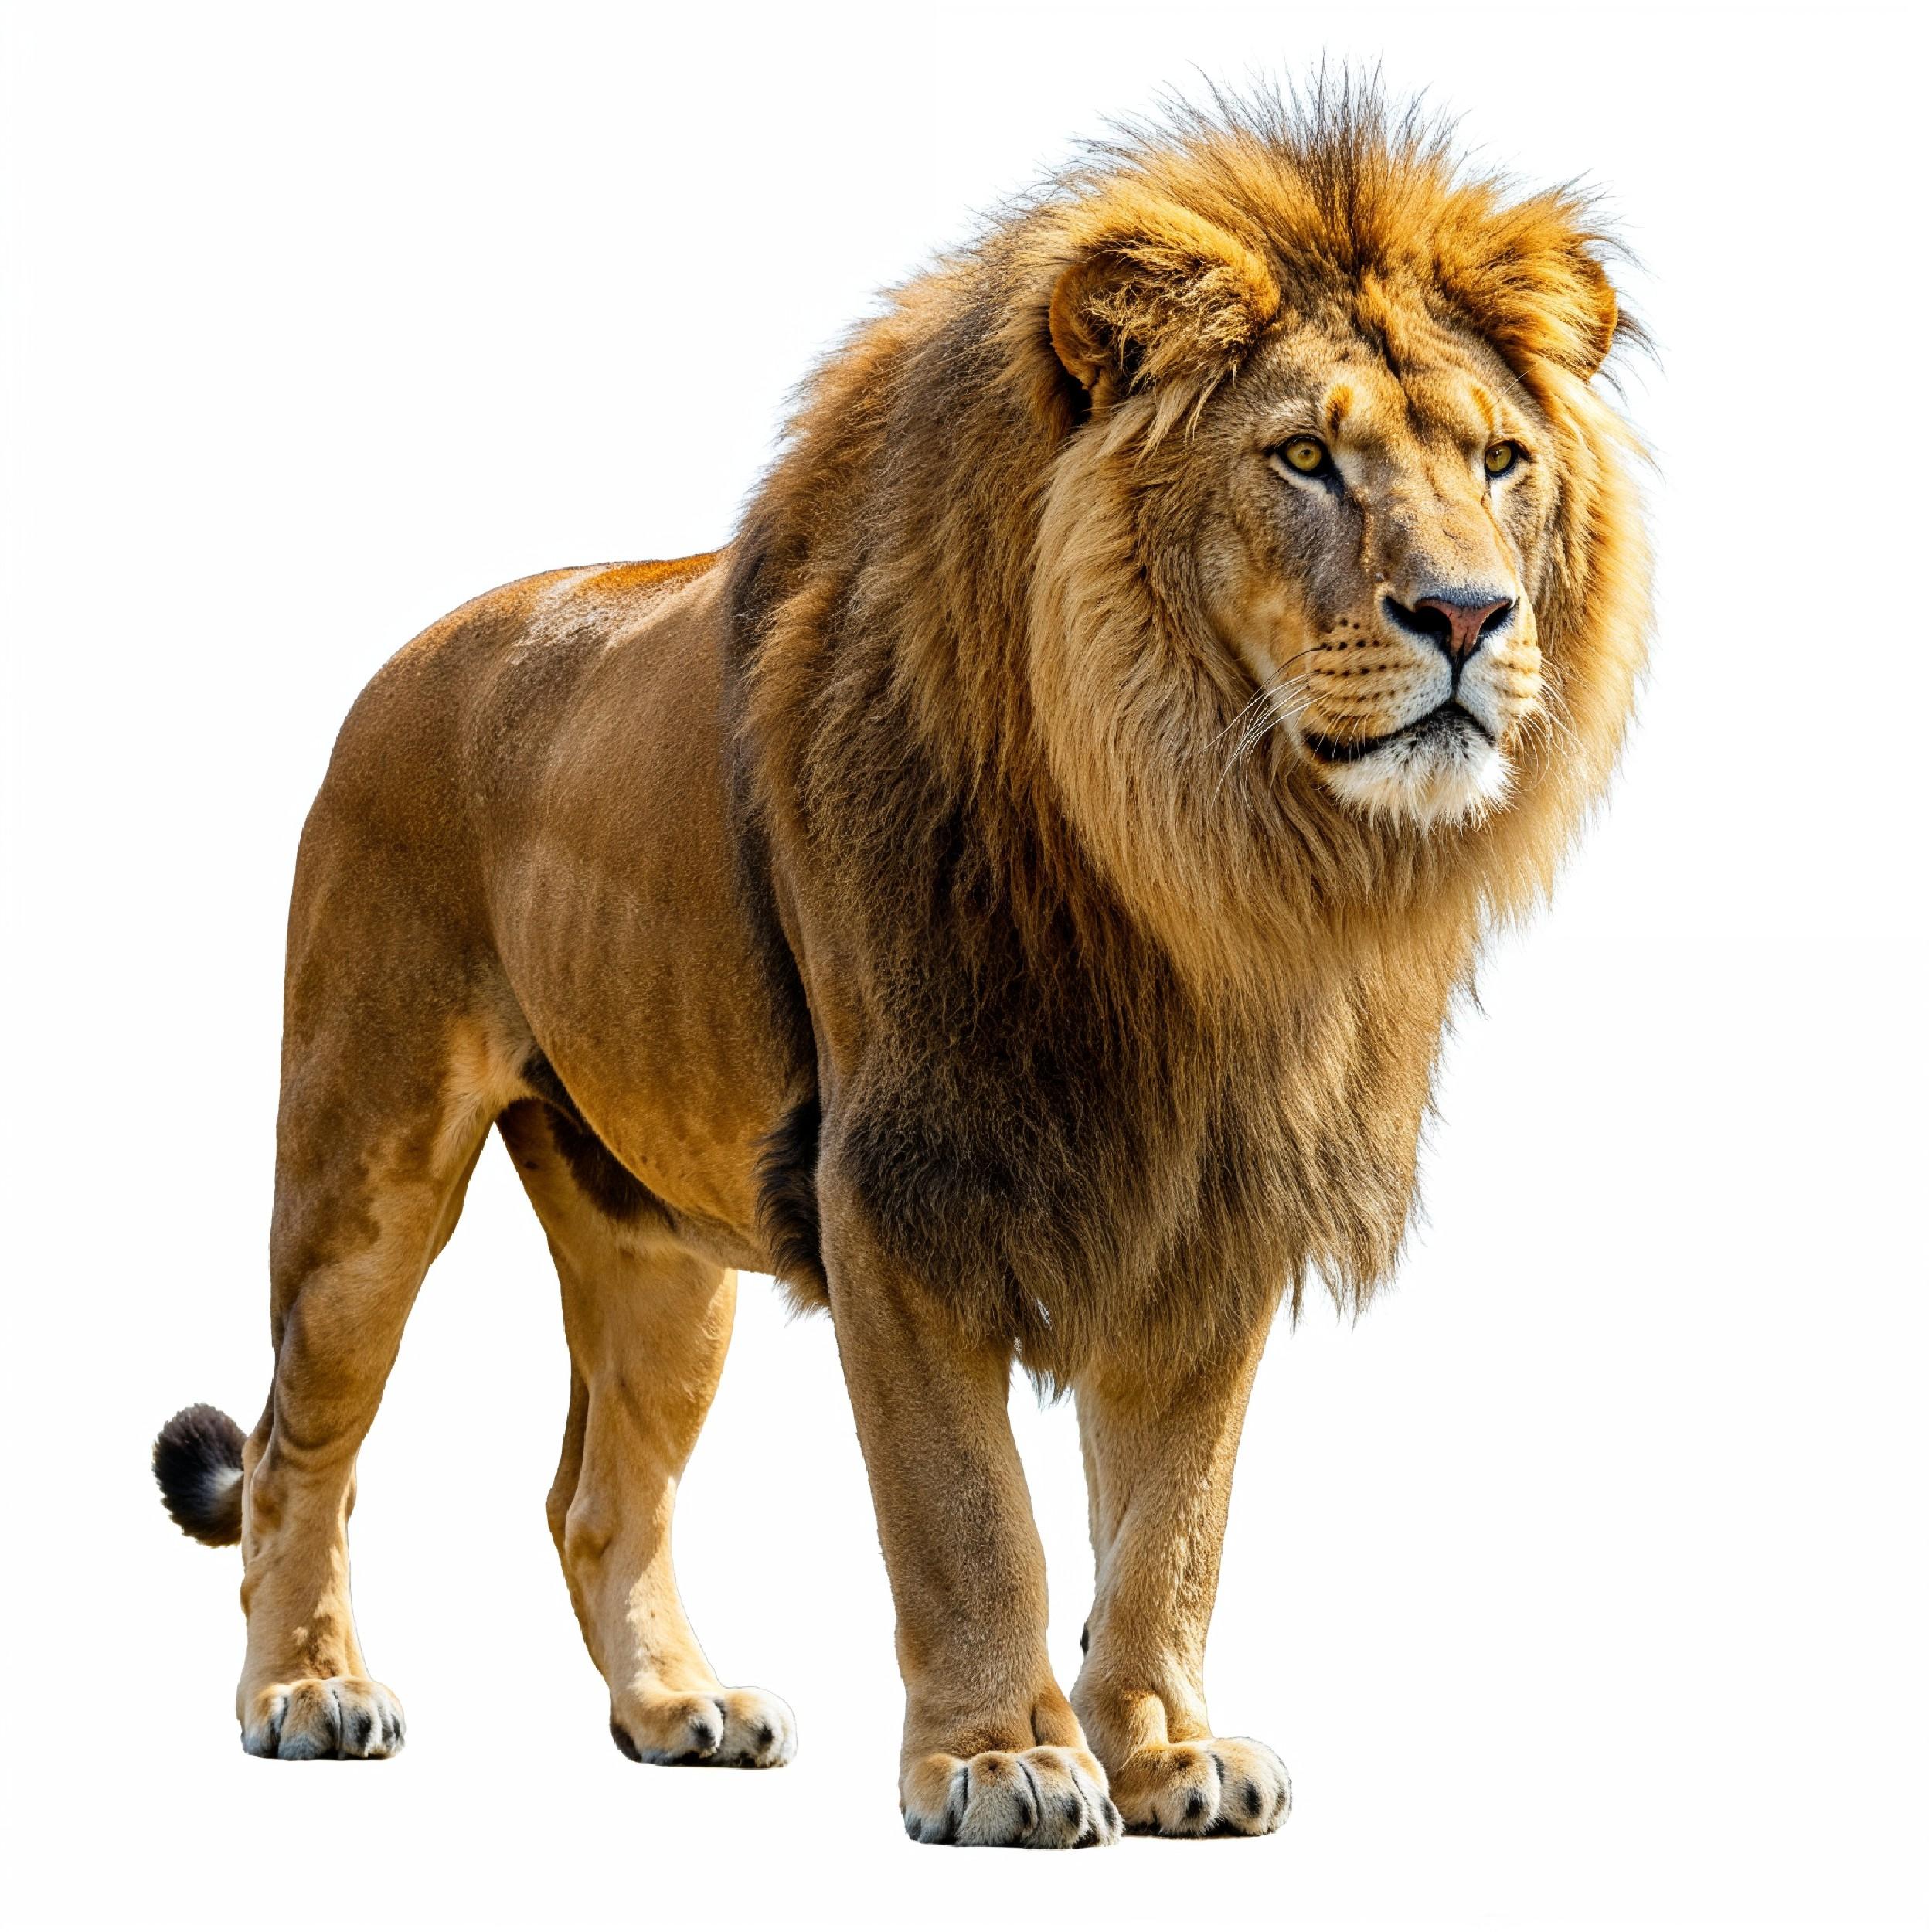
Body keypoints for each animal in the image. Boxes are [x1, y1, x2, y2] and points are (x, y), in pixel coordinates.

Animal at [152, 85, 1649, 1847]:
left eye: (1499, 459)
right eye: (1301, 457)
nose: (1471, 615)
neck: (1201, 862)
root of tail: (413, 653)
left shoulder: (1210, 1200)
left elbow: (1174, 1526)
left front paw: (1165, 1748)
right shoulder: (899, 1180)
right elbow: (966, 1514)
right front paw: (1001, 1759)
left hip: (659, 1245)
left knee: (597, 1492)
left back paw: (678, 1706)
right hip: (363, 1164)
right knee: (300, 1450)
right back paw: (305, 1691)